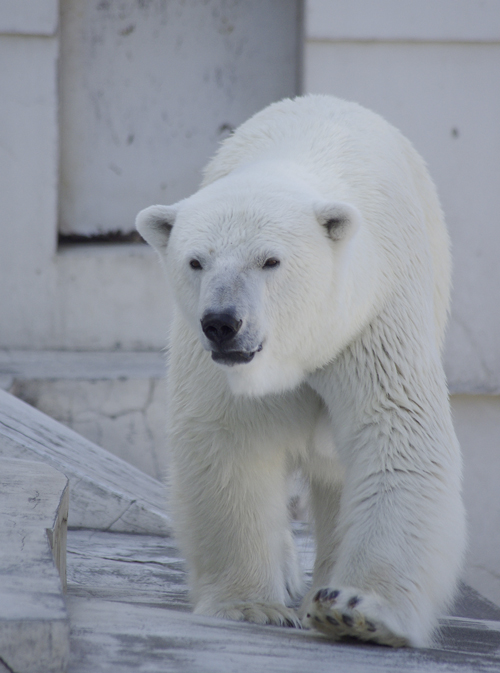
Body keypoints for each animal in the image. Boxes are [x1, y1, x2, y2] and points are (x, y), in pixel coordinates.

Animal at [136, 94, 464, 644]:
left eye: (270, 260)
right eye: (196, 261)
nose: (222, 323)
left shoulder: (372, 318)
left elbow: (395, 432)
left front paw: (357, 609)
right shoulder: (218, 365)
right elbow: (229, 438)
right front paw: (251, 604)